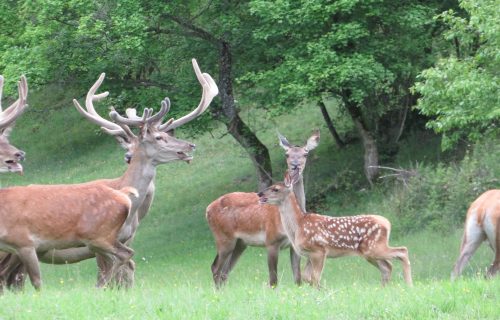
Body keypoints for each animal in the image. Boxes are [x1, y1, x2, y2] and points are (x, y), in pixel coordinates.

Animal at [0, 57, 219, 290]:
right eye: (159, 138)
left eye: (166, 135)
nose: (189, 146)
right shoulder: (96, 242)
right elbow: (112, 274)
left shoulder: (122, 239)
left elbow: (126, 274)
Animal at [207, 130, 320, 288]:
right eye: (287, 154)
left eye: (306, 153)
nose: (295, 165)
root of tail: (207, 209)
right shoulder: (271, 240)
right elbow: (273, 280)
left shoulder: (294, 246)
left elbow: (297, 278)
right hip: (223, 238)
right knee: (216, 268)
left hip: (239, 243)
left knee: (224, 271)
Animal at [256, 172, 412, 288]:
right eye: (270, 185)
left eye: (275, 189)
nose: (260, 194)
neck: (298, 226)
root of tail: (387, 223)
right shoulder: (309, 254)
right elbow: (307, 277)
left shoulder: (319, 250)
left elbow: (315, 277)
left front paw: (320, 291)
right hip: (369, 253)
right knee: (388, 267)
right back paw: (384, 288)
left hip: (374, 247)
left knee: (402, 251)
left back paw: (409, 284)